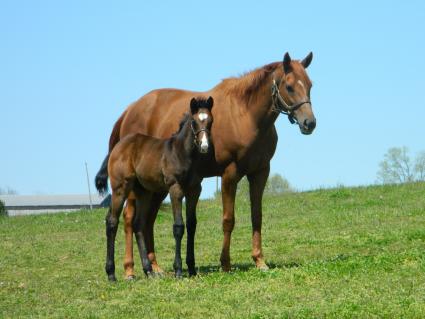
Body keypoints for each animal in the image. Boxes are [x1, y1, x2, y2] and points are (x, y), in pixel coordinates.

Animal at [105, 96, 214, 282]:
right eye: (194, 122)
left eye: (210, 120)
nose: (204, 146)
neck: (182, 153)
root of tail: (118, 146)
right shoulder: (175, 188)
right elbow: (178, 226)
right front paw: (178, 270)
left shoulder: (194, 190)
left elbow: (192, 225)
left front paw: (192, 268)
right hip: (121, 188)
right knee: (112, 222)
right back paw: (112, 274)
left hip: (144, 192)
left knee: (138, 224)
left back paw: (148, 270)